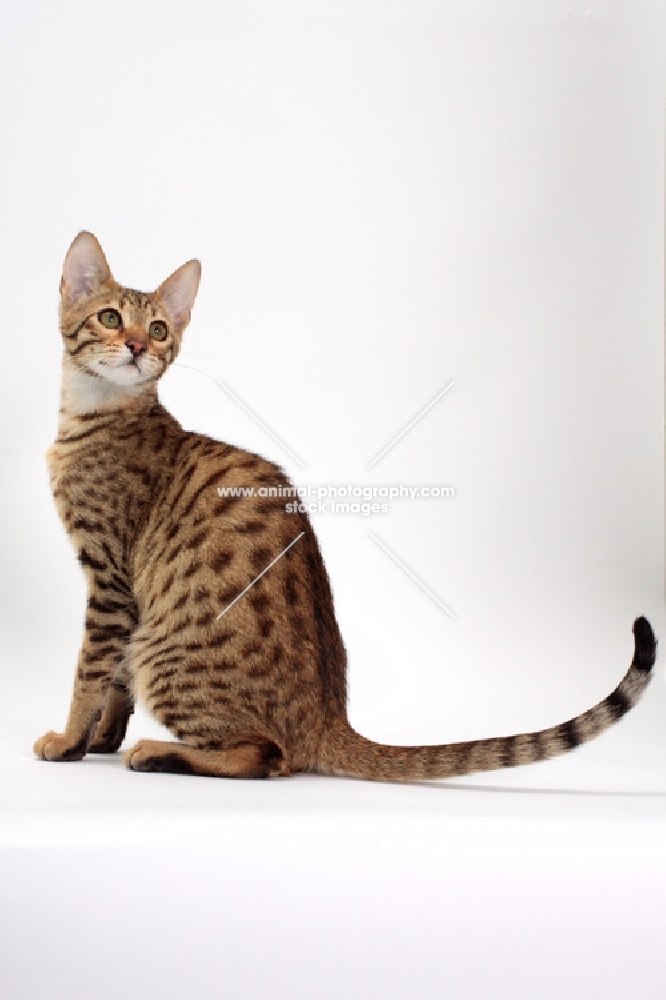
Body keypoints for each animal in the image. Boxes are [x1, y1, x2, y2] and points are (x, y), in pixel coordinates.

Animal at [33, 232, 656, 780]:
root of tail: (329, 718)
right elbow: (114, 679)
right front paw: (100, 737)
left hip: (166, 655)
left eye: (159, 329)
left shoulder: (111, 577)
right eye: (111, 318)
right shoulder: (123, 592)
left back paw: (158, 752)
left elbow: (90, 670)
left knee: (267, 756)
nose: (139, 347)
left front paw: (69, 739)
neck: (93, 414)